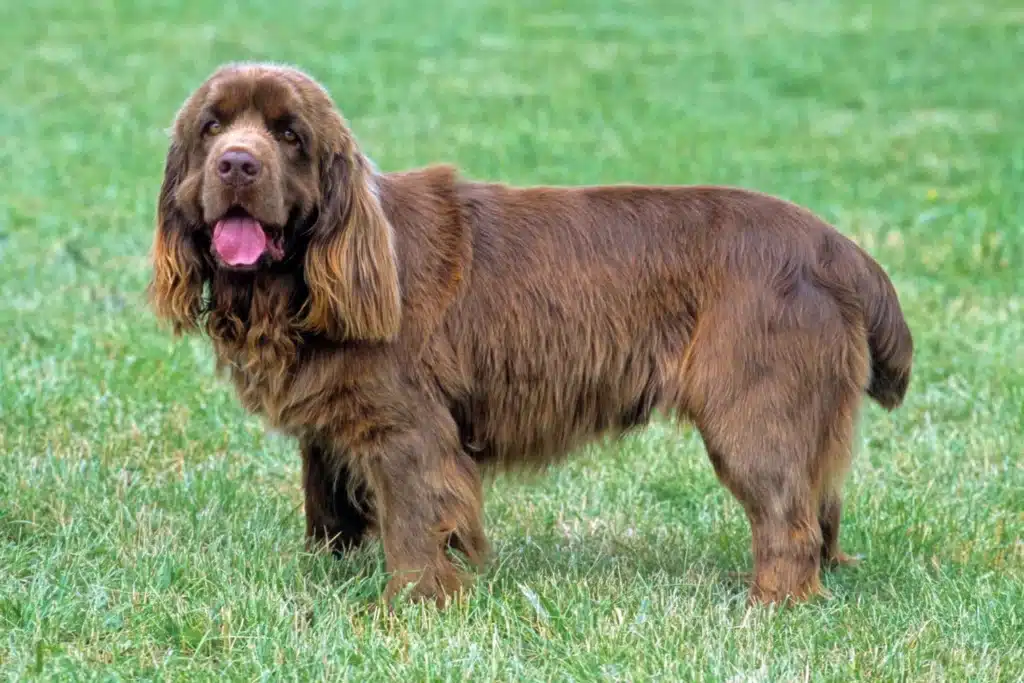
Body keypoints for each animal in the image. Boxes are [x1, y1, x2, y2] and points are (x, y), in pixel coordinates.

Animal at [149, 62, 913, 610]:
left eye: (289, 136)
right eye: (211, 128)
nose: (237, 164)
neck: (297, 284)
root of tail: (839, 247)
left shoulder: (408, 427)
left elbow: (414, 518)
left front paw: (410, 604)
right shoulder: (331, 429)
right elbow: (328, 508)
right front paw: (324, 578)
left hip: (754, 409)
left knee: (786, 517)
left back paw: (769, 605)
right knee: (820, 502)